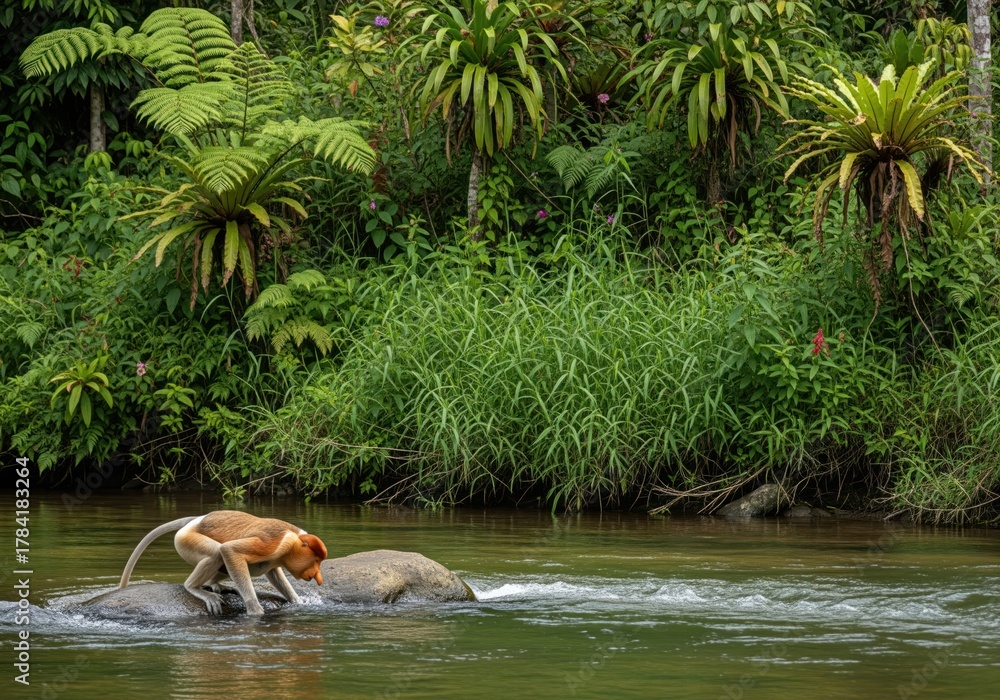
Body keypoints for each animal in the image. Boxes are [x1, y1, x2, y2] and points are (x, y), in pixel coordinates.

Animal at [119, 510, 327, 615]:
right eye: (316, 560)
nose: (318, 577)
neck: (294, 539)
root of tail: (195, 520)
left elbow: (273, 573)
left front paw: (298, 601)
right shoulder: (273, 542)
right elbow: (230, 550)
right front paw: (255, 611)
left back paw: (215, 584)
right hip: (186, 541)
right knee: (216, 553)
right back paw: (195, 588)